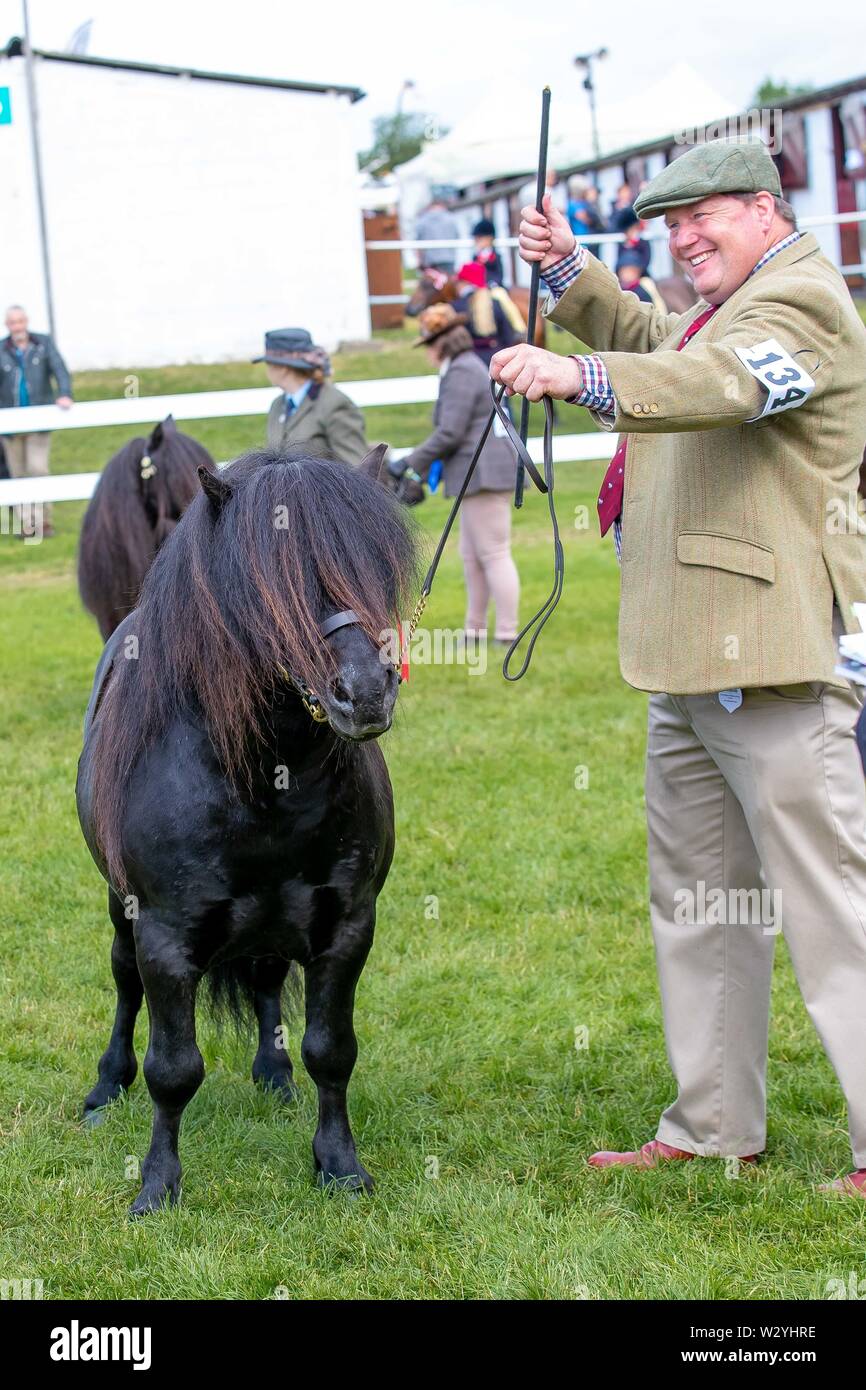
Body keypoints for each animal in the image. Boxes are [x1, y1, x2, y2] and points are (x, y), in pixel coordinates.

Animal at [77, 447, 419, 1217]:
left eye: (375, 563)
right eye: (267, 580)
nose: (364, 692)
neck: (264, 785)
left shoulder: (346, 926)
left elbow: (332, 1050)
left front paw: (339, 1166)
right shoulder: (165, 938)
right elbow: (172, 1068)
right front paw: (157, 1187)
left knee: (265, 981)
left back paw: (273, 1072)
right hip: (120, 911)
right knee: (122, 985)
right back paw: (104, 1088)